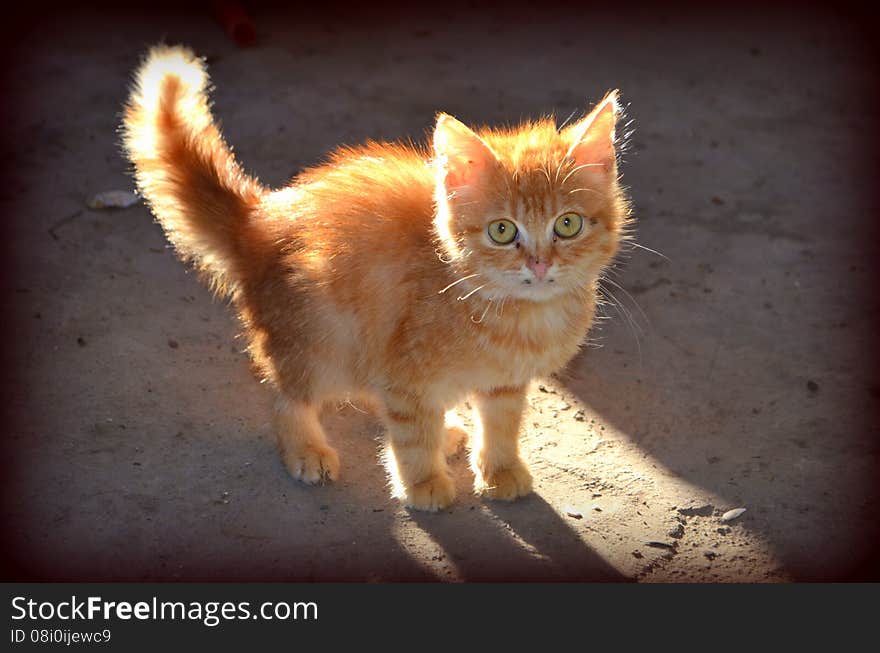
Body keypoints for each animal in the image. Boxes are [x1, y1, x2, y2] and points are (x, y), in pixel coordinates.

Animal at [124, 47, 632, 516]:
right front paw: (423, 482)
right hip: (320, 341)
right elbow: (410, 433)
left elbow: (501, 424)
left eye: (567, 224)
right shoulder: (405, 372)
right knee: (286, 397)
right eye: (503, 231)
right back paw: (306, 448)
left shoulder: (502, 383)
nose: (540, 264)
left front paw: (500, 469)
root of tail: (260, 218)